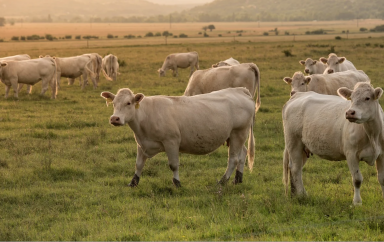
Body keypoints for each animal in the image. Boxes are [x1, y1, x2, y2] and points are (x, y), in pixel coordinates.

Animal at [101, 87, 255, 187]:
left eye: (128, 103)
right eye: (114, 104)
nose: (115, 118)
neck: (146, 115)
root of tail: (240, 90)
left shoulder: (171, 142)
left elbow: (173, 165)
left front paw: (177, 183)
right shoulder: (142, 143)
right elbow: (138, 164)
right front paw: (133, 182)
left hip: (238, 133)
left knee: (233, 159)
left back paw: (222, 181)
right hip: (234, 137)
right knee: (242, 154)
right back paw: (238, 179)